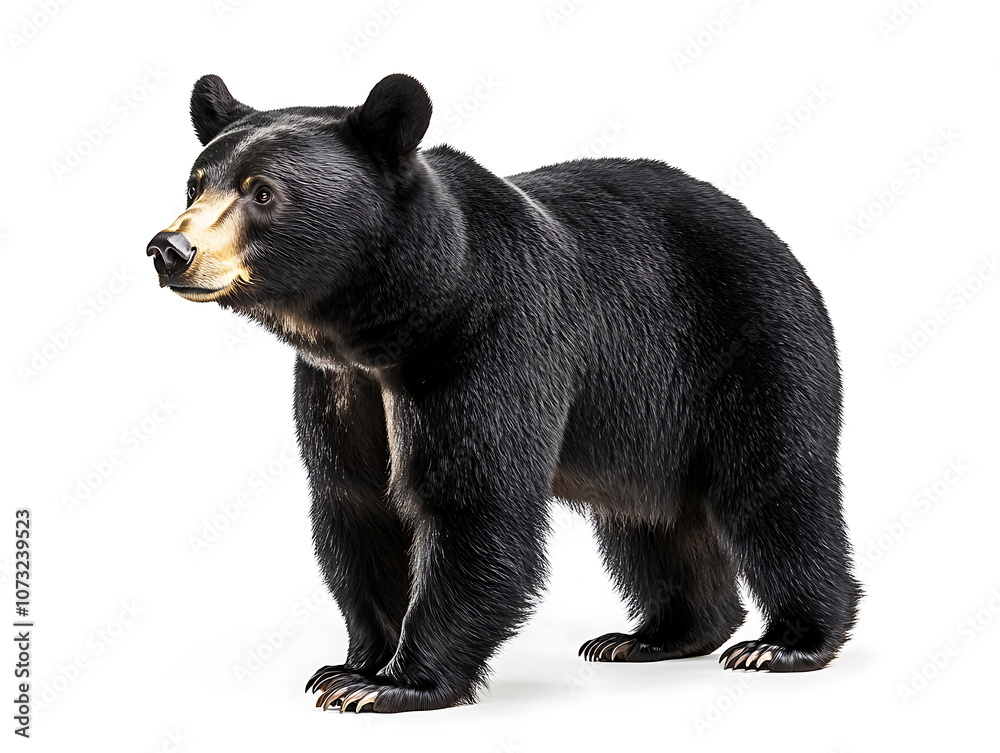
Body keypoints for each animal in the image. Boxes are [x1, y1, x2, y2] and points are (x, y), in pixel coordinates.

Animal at [146, 73, 861, 713]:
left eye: (263, 192)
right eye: (195, 183)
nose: (169, 248)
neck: (395, 321)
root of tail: (773, 237)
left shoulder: (490, 340)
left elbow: (472, 501)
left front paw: (394, 684)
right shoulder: (339, 385)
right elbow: (355, 504)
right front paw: (352, 665)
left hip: (747, 347)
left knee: (775, 490)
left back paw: (786, 642)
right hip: (643, 423)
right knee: (648, 520)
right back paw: (657, 635)